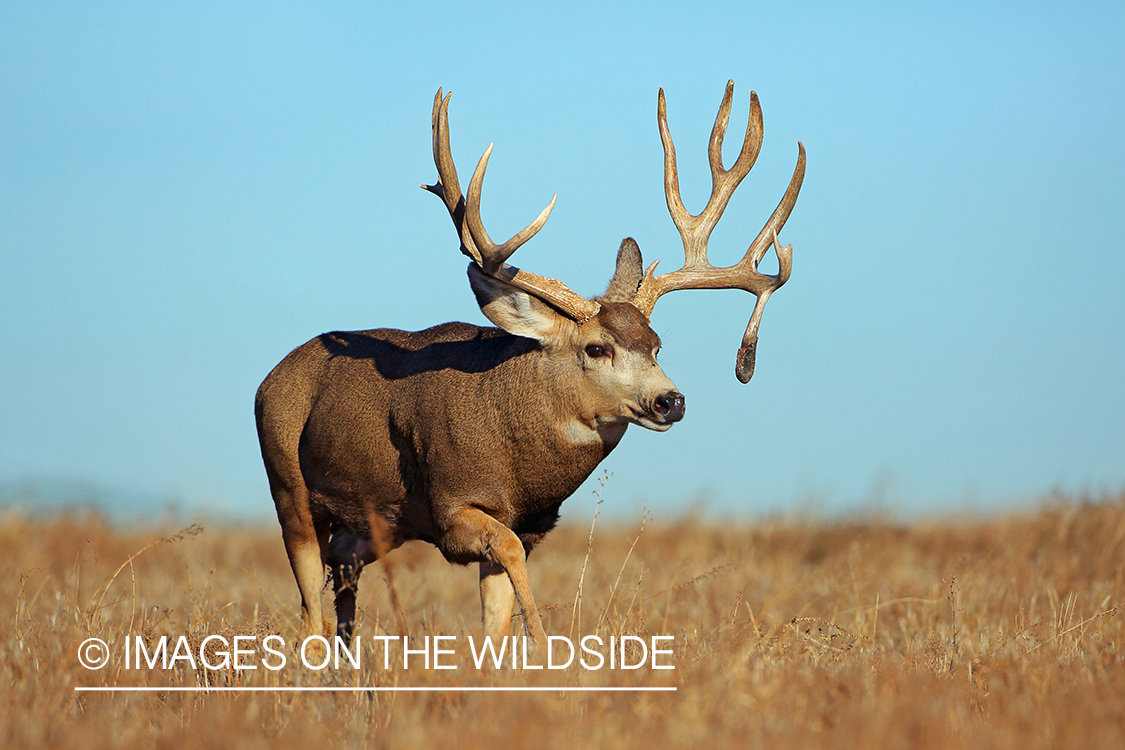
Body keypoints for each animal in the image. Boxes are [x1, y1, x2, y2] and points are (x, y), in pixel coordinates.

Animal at [254, 81, 805, 644]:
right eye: (596, 347)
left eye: (656, 345)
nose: (670, 401)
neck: (520, 464)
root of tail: (270, 377)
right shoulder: (451, 504)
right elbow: (509, 555)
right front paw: (543, 642)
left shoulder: (530, 521)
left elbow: (495, 615)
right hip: (288, 490)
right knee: (309, 605)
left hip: (365, 524)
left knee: (341, 580)